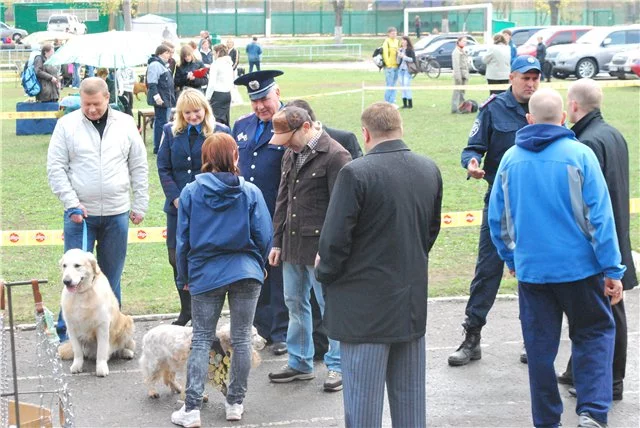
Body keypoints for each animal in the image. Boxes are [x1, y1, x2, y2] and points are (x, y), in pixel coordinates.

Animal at [58, 249, 136, 377]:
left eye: (77, 265)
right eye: (64, 266)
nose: (66, 281)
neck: (82, 293)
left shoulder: (102, 326)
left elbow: (101, 351)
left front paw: (101, 368)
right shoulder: (71, 328)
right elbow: (77, 352)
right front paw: (77, 366)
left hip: (128, 322)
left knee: (120, 348)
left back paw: (126, 352)